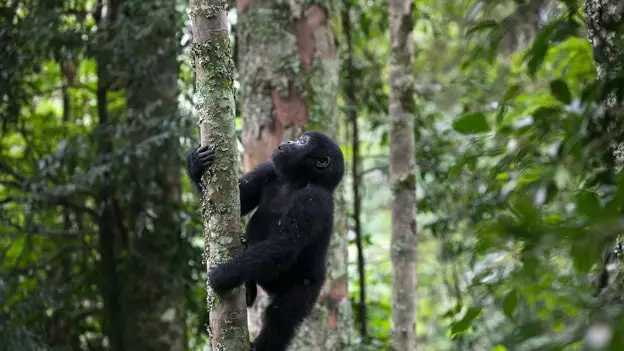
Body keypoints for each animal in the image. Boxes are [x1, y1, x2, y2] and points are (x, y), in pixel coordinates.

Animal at [188, 132, 344, 351]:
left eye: (303, 142)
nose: (290, 141)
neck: (297, 180)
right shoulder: (268, 169)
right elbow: (236, 199)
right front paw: (195, 162)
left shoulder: (313, 200)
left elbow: (282, 245)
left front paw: (223, 275)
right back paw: (248, 291)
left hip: (307, 287)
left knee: (280, 318)